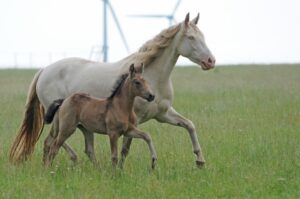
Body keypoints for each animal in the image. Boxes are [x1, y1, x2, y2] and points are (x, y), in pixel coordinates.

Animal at [9, 13, 216, 167]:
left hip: (79, 123)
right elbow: (125, 147)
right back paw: (73, 159)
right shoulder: (135, 120)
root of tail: (44, 70)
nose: (211, 61)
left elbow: (189, 125)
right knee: (55, 140)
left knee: (72, 145)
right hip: (61, 117)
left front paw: (200, 160)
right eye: (191, 37)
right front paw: (121, 168)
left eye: (203, 36)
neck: (154, 77)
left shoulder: (163, 114)